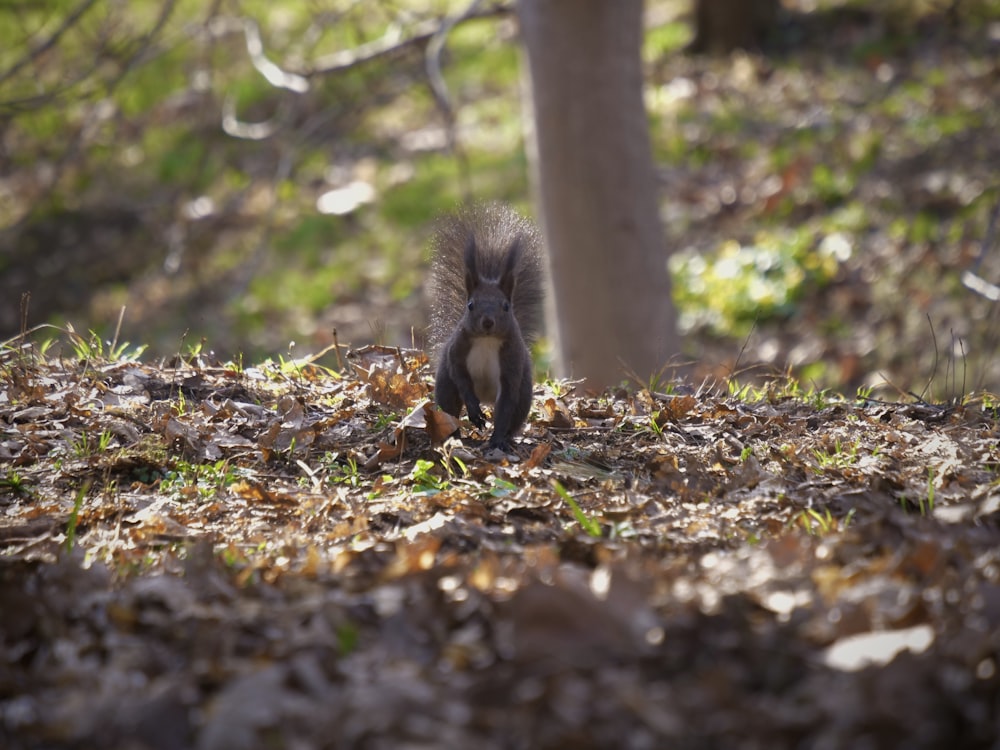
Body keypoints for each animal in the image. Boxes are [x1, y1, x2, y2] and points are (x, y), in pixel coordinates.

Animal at [426, 203, 544, 450]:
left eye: (506, 306)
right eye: (470, 305)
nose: (488, 322)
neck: (487, 340)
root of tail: (486, 396)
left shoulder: (512, 365)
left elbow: (505, 406)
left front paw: (497, 439)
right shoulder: (457, 352)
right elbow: (460, 376)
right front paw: (474, 412)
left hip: (524, 397)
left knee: (512, 416)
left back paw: (506, 438)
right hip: (445, 386)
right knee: (450, 408)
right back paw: (454, 434)